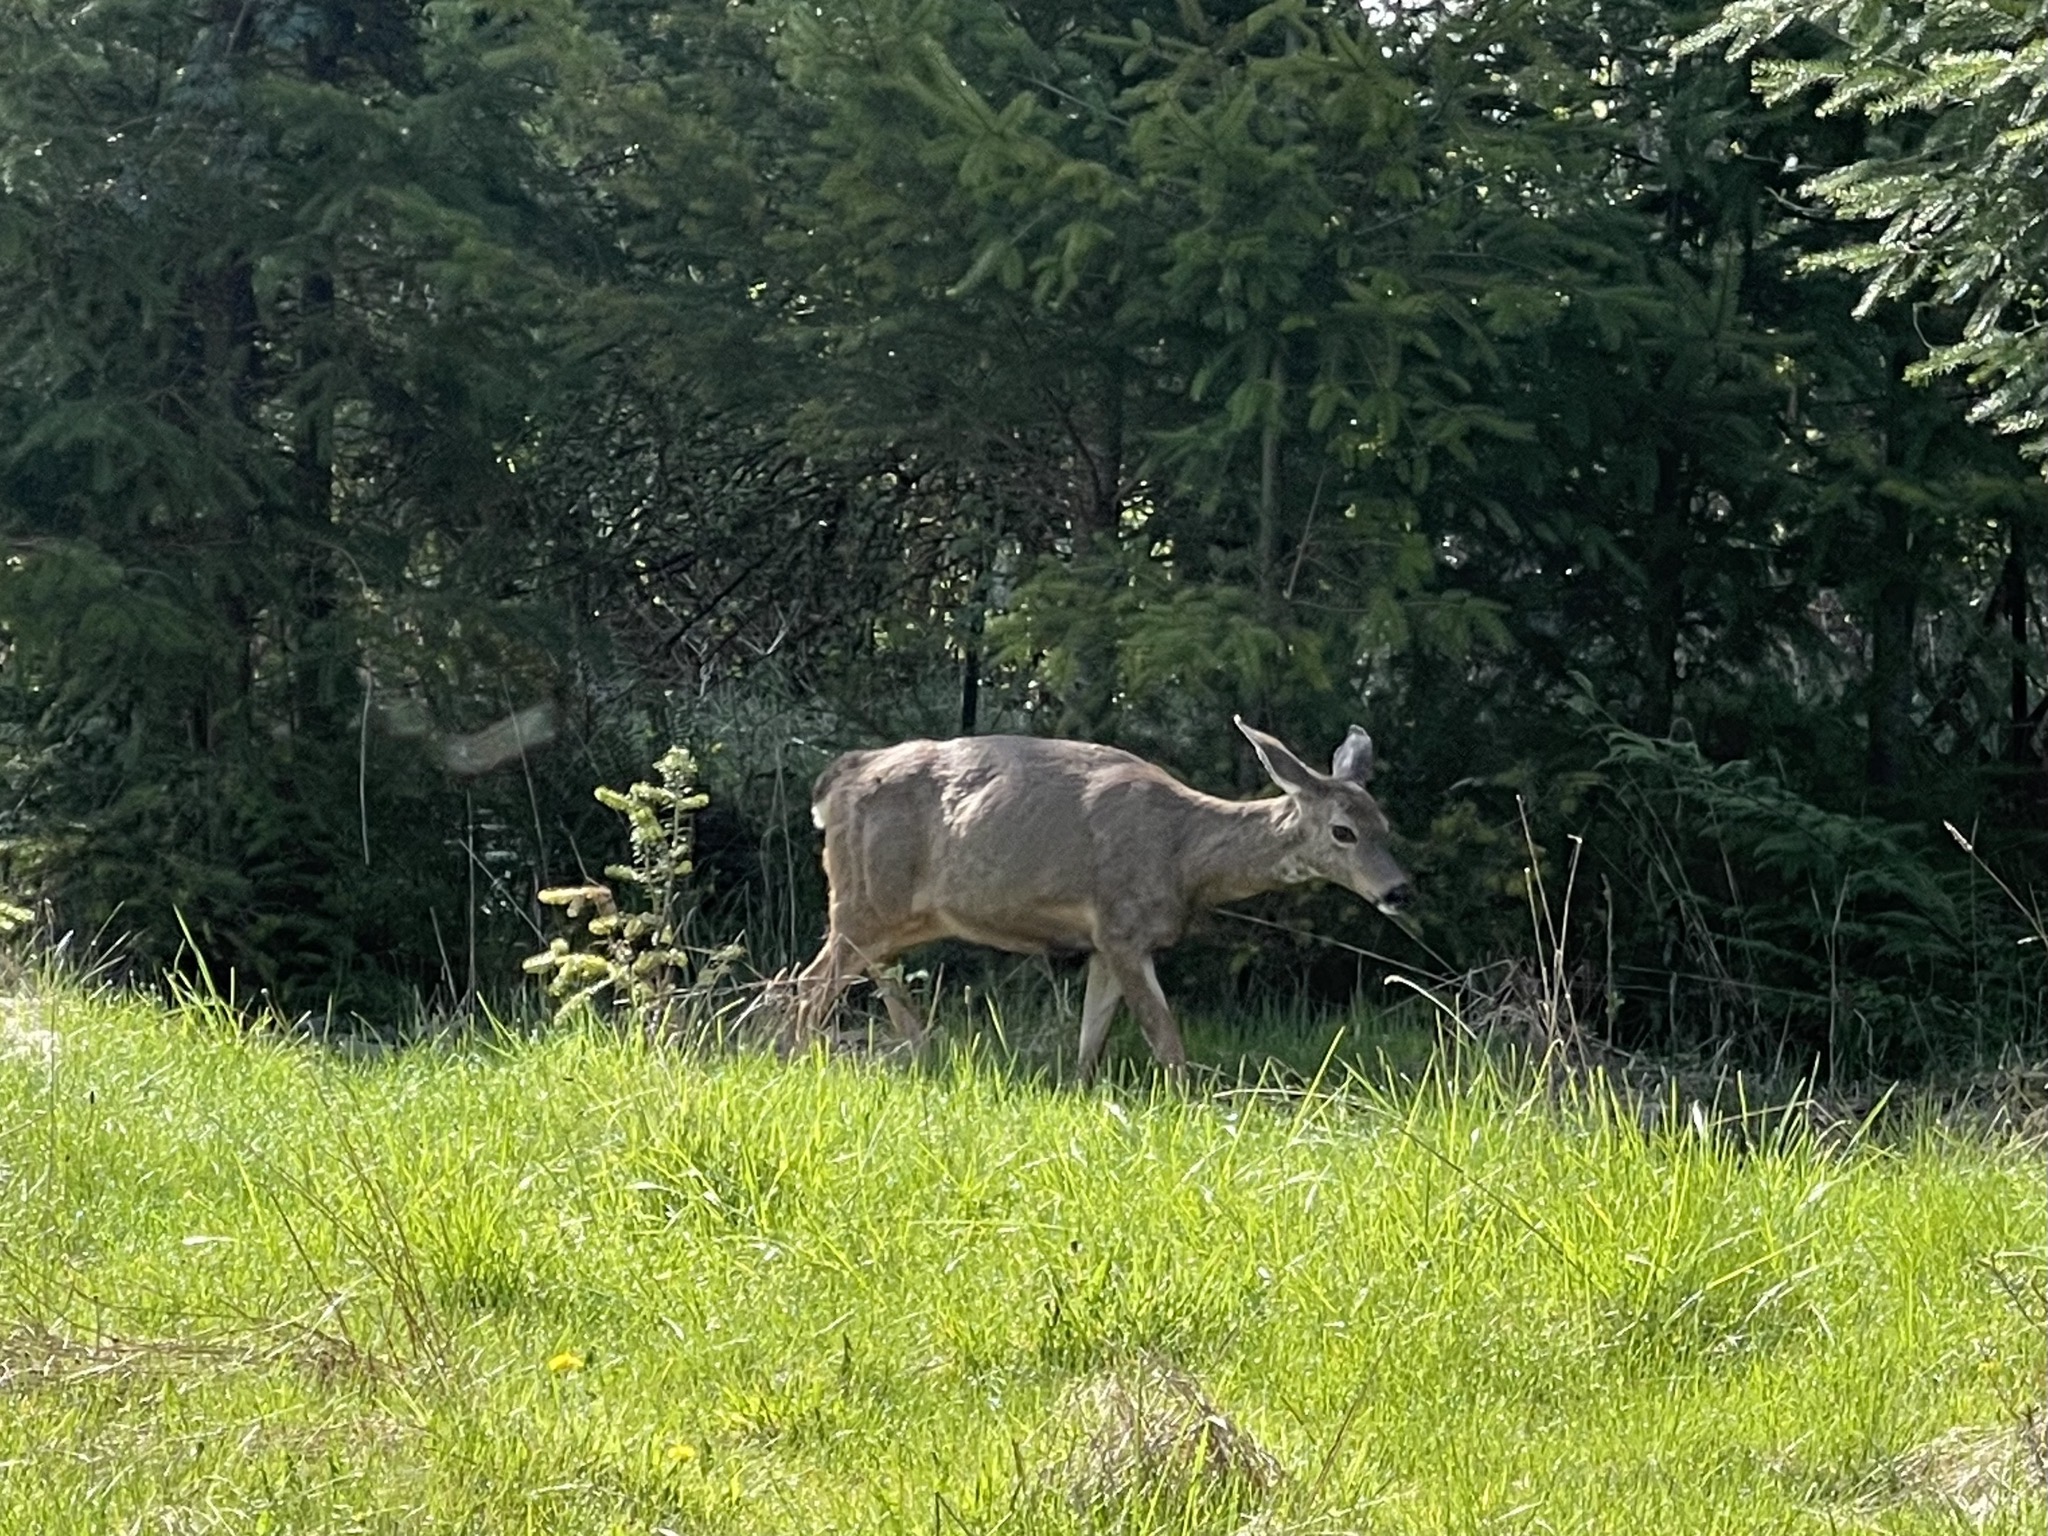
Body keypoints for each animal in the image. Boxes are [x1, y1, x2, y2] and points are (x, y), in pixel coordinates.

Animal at [787, 715, 1413, 1081]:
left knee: (873, 977)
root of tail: (835, 781)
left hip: (893, 914)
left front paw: (1081, 1091)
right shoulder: (1121, 927)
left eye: (1385, 824)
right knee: (807, 984)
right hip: (860, 900)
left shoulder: (1103, 944)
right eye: (1342, 831)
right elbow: (1167, 1041)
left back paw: (920, 1055)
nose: (1398, 889)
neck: (1184, 855)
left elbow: (1091, 1043)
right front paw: (1187, 1102)